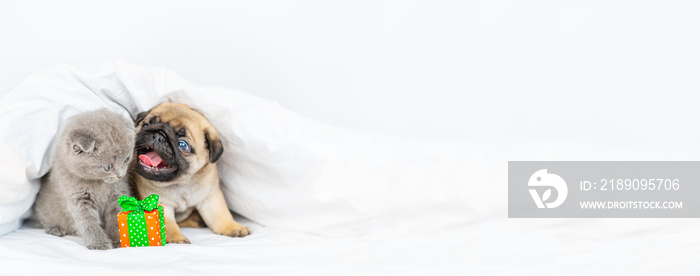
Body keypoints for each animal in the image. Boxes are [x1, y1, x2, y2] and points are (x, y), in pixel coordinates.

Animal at [34, 109, 135, 250]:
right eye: (107, 167)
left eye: (126, 159)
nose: (120, 175)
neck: (99, 183)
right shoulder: (78, 198)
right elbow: (88, 223)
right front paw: (99, 244)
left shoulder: (117, 194)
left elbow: (116, 216)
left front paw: (118, 240)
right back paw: (55, 229)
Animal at [133, 102, 250, 243]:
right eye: (145, 125)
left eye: (182, 145)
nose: (158, 136)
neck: (181, 183)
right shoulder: (161, 203)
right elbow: (168, 224)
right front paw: (176, 238)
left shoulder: (210, 197)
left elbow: (220, 215)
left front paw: (232, 227)